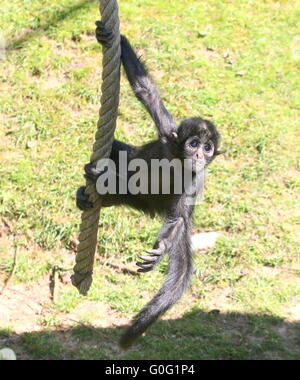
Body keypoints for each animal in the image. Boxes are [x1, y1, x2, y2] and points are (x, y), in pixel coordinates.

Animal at [76, 20, 221, 348]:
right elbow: (145, 91)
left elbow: (178, 218)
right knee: (119, 152)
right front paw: (111, 38)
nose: (198, 155)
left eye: (208, 148)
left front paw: (161, 250)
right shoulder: (169, 136)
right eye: (194, 143)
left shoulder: (195, 178)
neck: (178, 160)